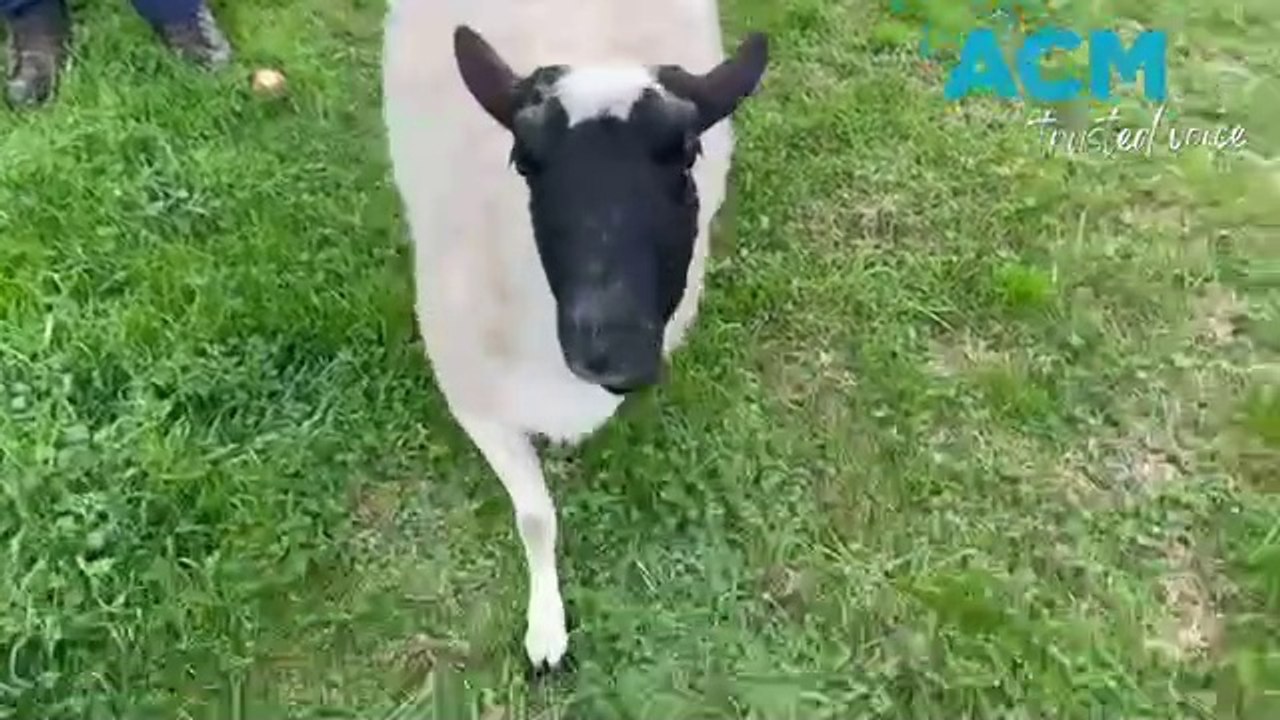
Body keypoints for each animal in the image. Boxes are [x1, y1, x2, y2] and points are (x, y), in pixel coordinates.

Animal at [380, 0, 769, 672]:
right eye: (524, 161)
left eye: (688, 154)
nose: (611, 353)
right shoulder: (474, 398)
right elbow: (536, 517)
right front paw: (546, 630)